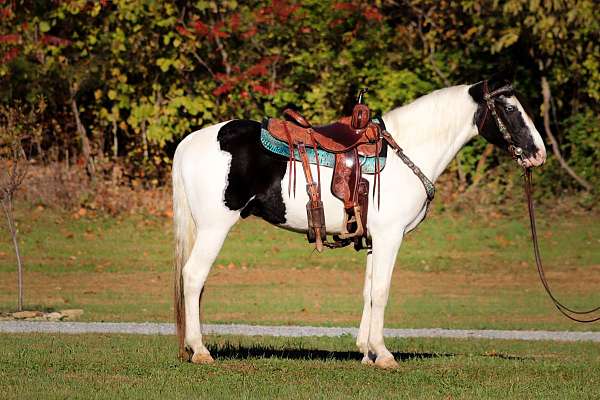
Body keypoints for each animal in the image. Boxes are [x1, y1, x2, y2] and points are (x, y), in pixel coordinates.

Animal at [171, 77, 548, 368]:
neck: (406, 151)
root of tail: (191, 141)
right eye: (510, 109)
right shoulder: (390, 236)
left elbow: (368, 291)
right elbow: (381, 291)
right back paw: (200, 351)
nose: (539, 153)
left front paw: (367, 352)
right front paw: (384, 354)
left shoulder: (374, 240)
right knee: (193, 277)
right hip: (214, 229)